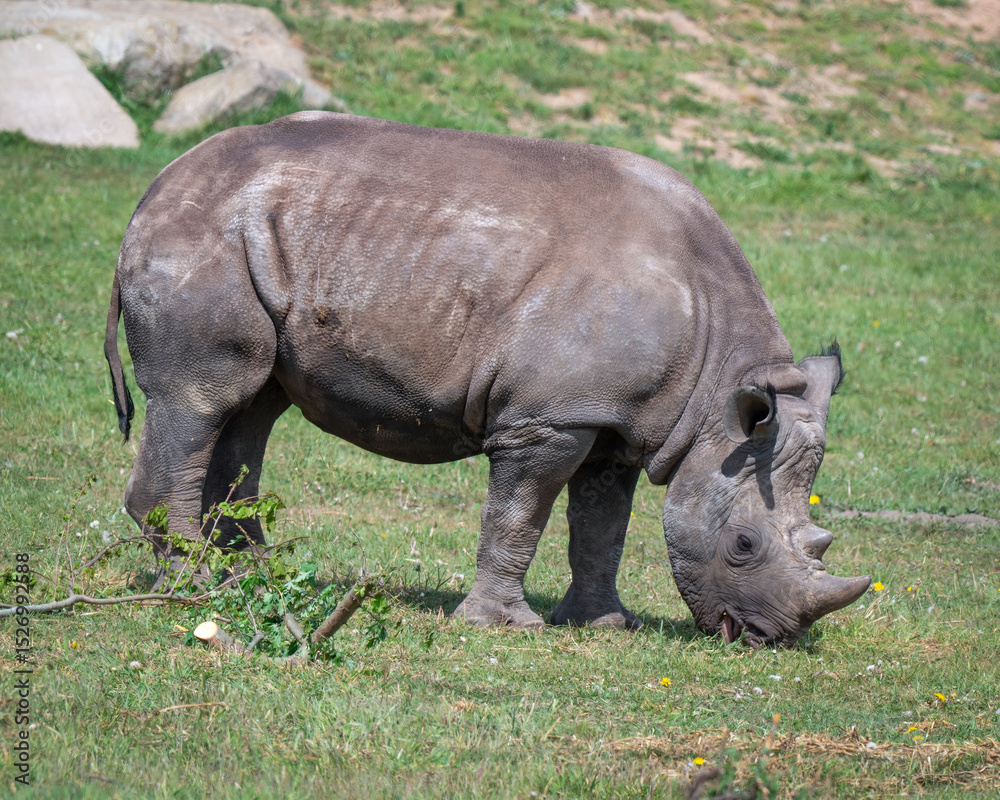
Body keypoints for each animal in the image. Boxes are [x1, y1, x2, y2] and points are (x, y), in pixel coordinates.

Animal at [104, 111, 869, 646]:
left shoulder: (616, 419)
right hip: (199, 243)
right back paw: (196, 592)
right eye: (743, 547)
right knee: (200, 400)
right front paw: (507, 626)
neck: (718, 390)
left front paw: (602, 625)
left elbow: (602, 525)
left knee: (253, 408)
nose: (771, 637)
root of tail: (153, 190)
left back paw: (258, 583)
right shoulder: (549, 416)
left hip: (258, 239)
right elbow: (520, 513)